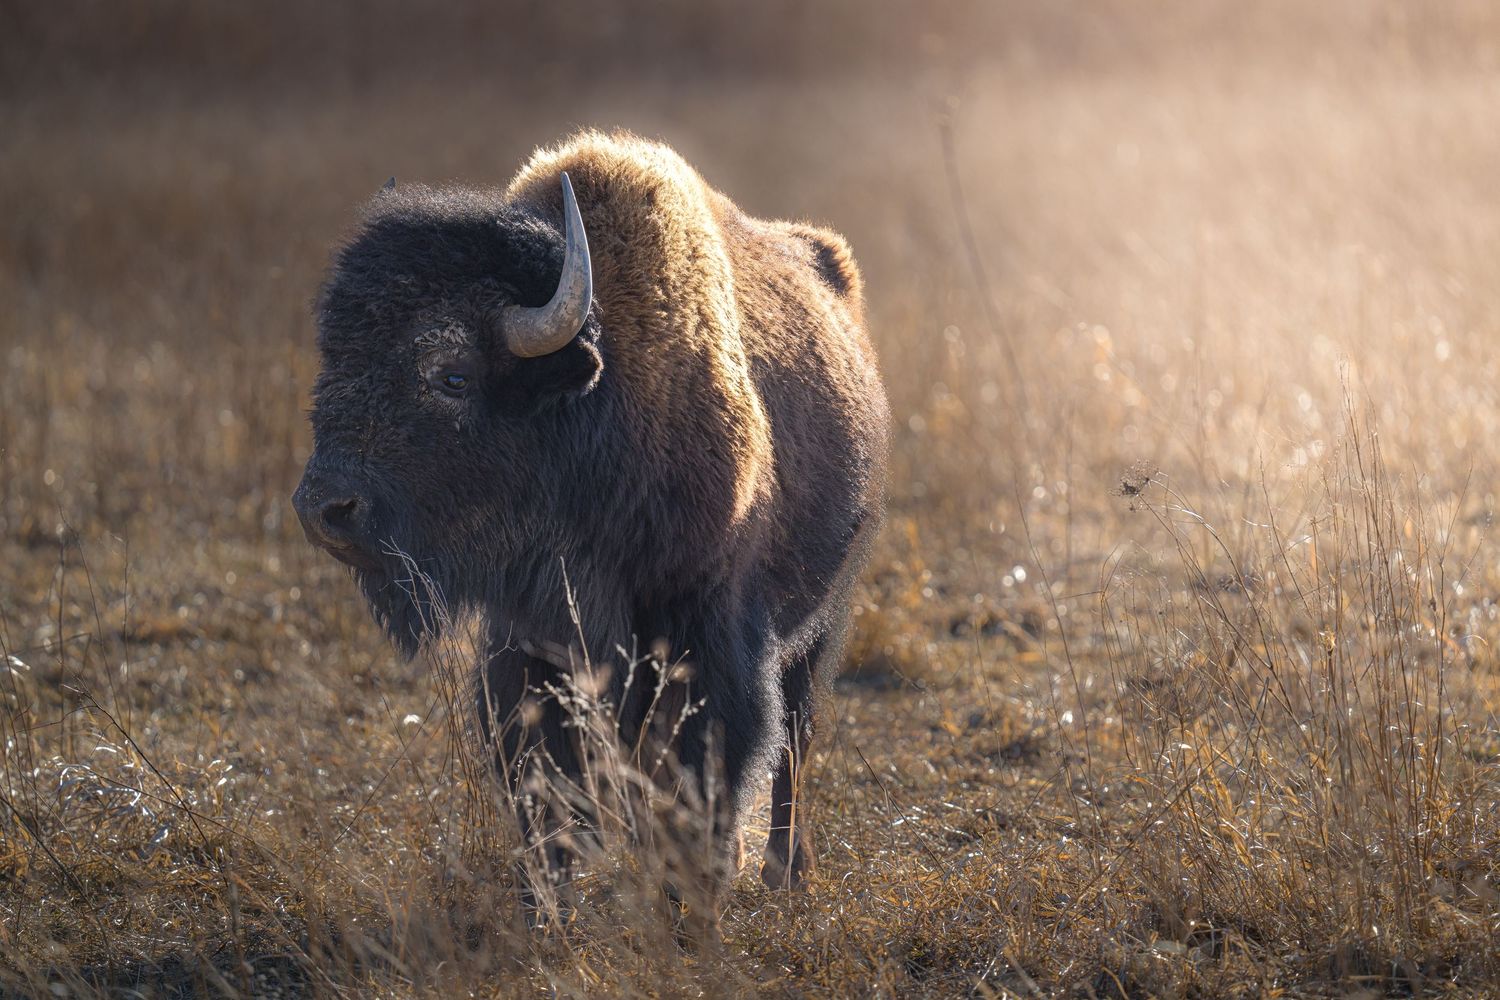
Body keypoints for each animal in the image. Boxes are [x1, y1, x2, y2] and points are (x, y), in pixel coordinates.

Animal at [292, 131, 888, 902]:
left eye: (452, 374)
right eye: (333, 358)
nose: (322, 508)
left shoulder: (705, 635)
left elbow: (704, 770)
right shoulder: (528, 644)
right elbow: (544, 784)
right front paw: (548, 907)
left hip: (822, 617)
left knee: (795, 736)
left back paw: (787, 874)